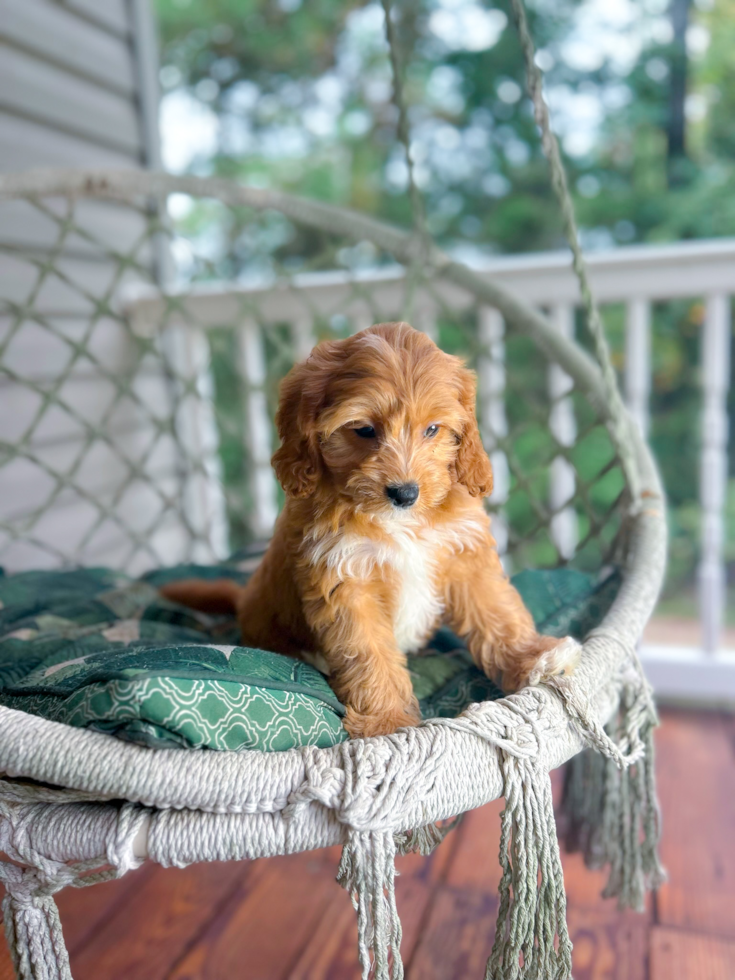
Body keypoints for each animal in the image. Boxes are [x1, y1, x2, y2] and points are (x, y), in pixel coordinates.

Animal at [161, 322, 580, 736]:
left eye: (432, 429)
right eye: (363, 429)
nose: (405, 493)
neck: (401, 521)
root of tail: (243, 601)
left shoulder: (465, 553)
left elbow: (495, 612)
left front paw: (533, 657)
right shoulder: (344, 577)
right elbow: (367, 652)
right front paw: (387, 720)